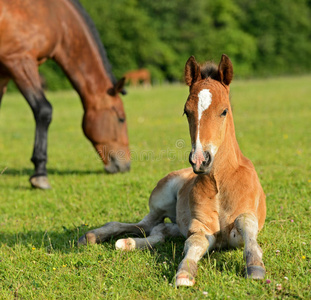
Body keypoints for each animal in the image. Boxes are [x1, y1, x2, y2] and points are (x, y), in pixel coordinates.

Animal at [0, 0, 130, 189]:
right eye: (121, 119)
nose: (126, 165)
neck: (58, 19)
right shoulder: (19, 61)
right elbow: (44, 110)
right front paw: (40, 174)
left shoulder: (4, 72)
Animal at [79, 55, 266, 288]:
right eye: (187, 111)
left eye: (224, 110)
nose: (200, 160)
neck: (220, 183)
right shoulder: (199, 227)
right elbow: (194, 243)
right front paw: (185, 273)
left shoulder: (240, 227)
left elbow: (246, 224)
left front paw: (255, 266)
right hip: (161, 200)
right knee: (144, 225)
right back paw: (96, 237)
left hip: (176, 223)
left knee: (160, 231)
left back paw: (126, 243)